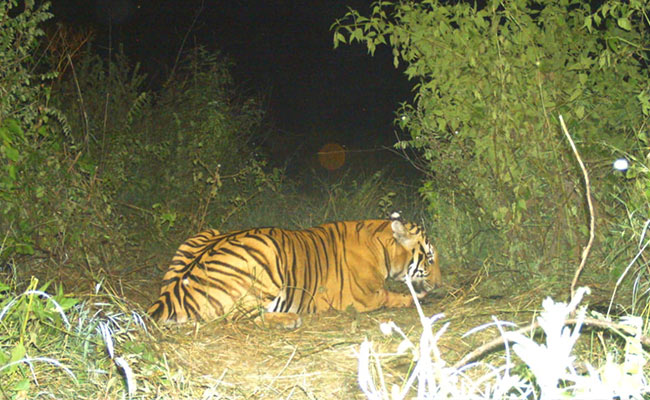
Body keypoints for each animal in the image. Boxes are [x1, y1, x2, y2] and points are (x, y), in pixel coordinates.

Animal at [147, 213, 441, 329]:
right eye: (429, 258)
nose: (440, 284)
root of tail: (168, 296)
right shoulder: (360, 298)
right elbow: (392, 296)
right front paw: (418, 298)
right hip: (266, 251)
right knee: (241, 317)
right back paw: (289, 319)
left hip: (204, 233)